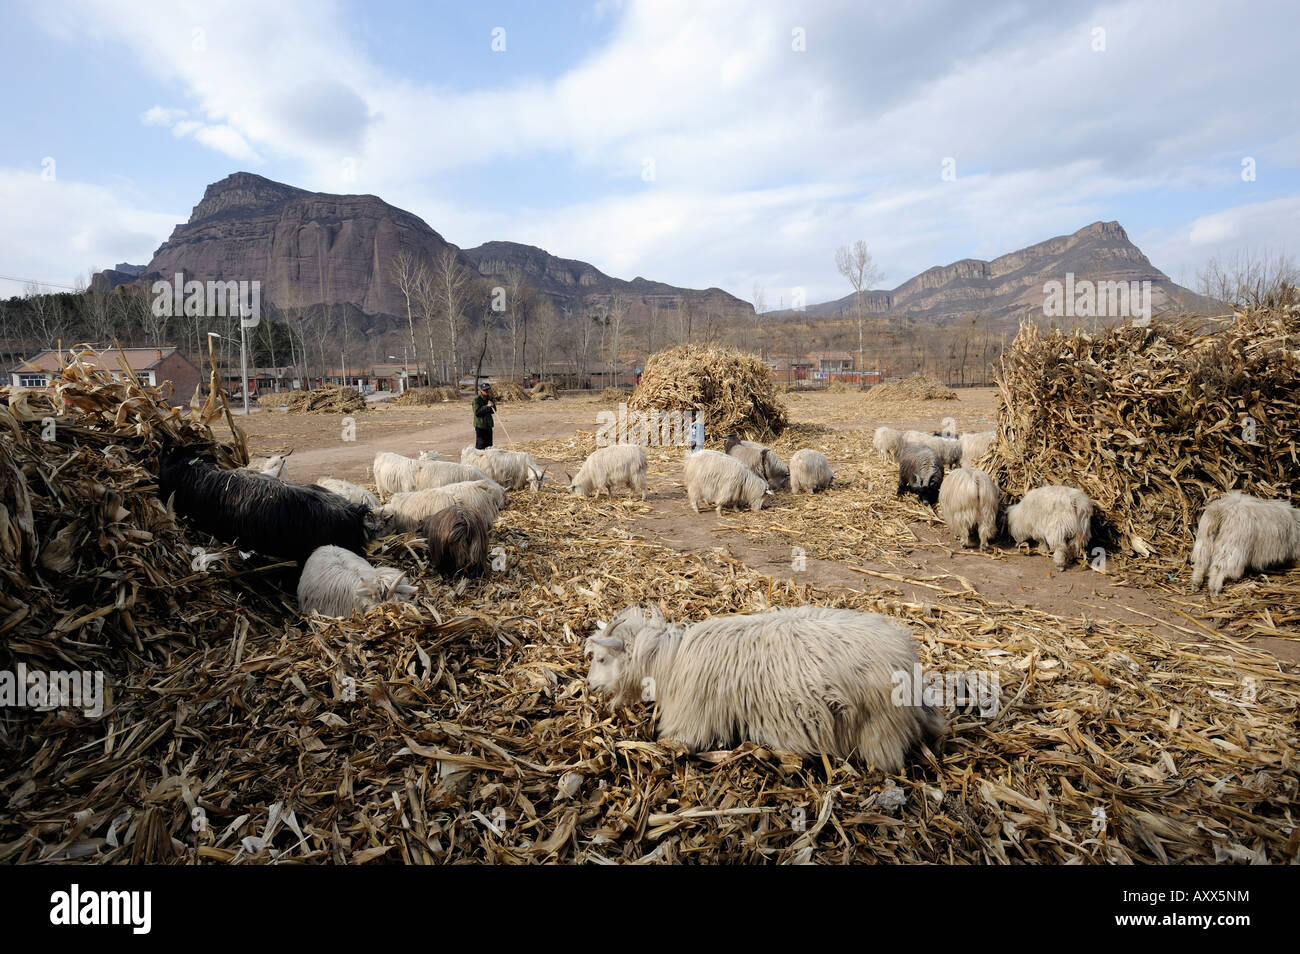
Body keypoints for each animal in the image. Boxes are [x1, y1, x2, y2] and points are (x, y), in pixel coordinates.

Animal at [587, 608, 946, 774]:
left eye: (602, 658)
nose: (590, 685)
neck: (670, 660)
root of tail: (906, 655)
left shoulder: (691, 722)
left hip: (878, 727)